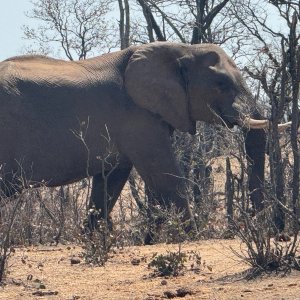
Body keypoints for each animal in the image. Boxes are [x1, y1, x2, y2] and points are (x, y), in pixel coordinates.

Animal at [0, 41, 286, 234]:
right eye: (221, 84)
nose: (254, 221)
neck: (182, 49)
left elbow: (111, 180)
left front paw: (92, 238)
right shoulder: (138, 117)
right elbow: (165, 174)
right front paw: (193, 235)